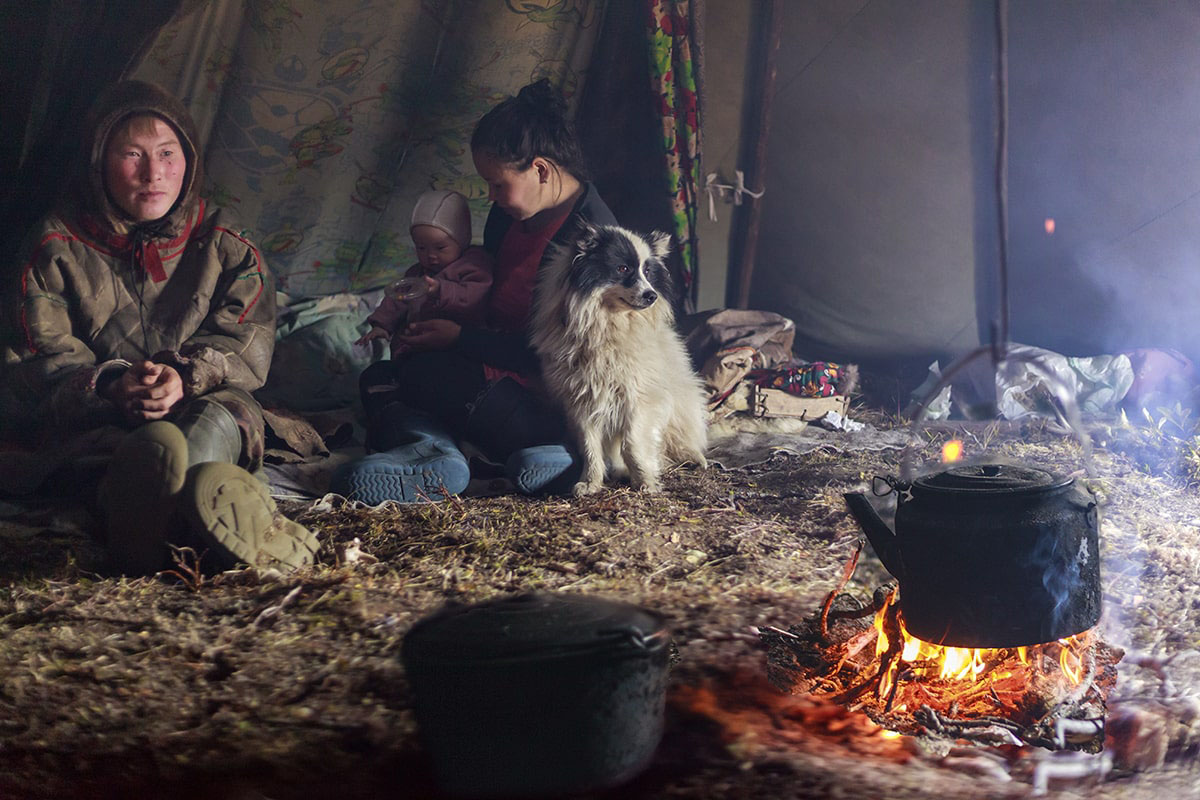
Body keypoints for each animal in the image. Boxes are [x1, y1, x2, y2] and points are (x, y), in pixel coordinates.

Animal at [530, 220, 705, 494]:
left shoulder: (638, 397)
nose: (651, 295)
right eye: (623, 269)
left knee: (679, 436)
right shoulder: (581, 401)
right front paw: (590, 482)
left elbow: (632, 443)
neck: (608, 325)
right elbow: (590, 448)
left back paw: (691, 457)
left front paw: (644, 481)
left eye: (648, 272)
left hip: (681, 403)